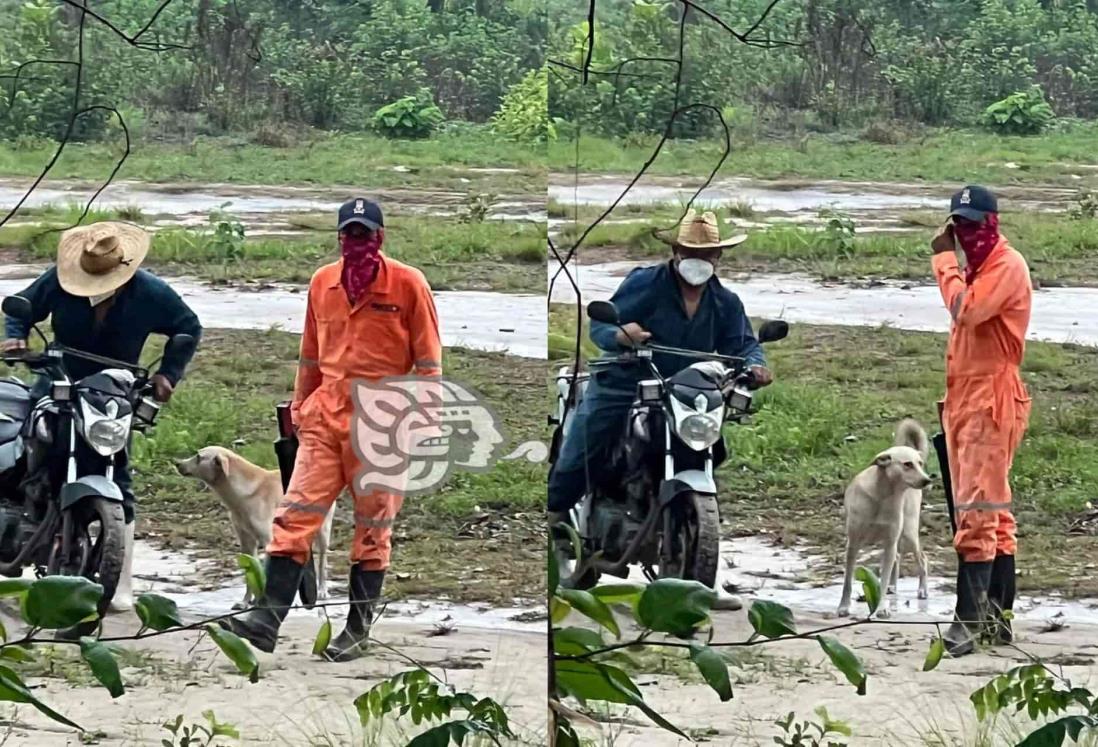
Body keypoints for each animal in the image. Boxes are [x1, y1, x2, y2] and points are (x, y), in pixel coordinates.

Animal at [172, 446, 329, 610]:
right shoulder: (246, 541)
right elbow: (250, 575)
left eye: (198, 456)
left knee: (322, 561)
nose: (176, 463)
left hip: (323, 532)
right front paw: (246, 601)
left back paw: (322, 590)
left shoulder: (268, 541)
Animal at [834, 419, 931, 619]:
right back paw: (893, 587)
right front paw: (844, 607)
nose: (927, 480)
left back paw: (922, 589)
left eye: (920, 463)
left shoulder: (889, 543)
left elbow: (883, 579)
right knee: (899, 558)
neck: (883, 496)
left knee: (922, 559)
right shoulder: (852, 545)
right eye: (907, 464)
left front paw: (881, 608)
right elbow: (847, 580)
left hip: (909, 532)